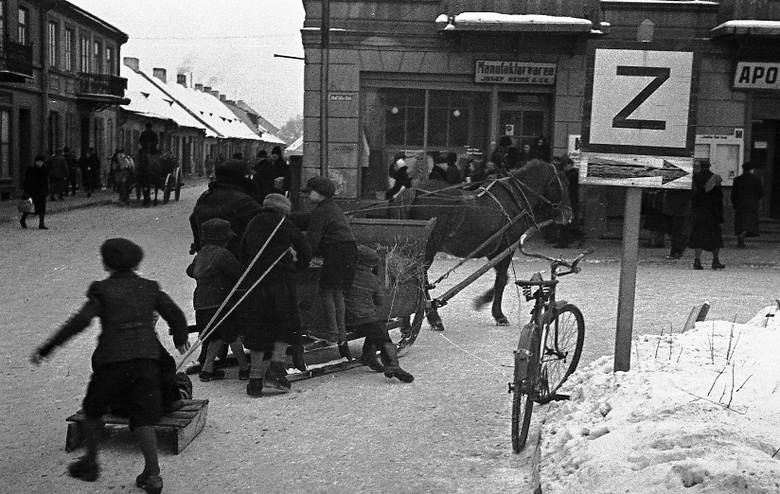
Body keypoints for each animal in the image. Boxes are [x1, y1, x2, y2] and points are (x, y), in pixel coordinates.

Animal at [374, 160, 568, 330]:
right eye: (561, 182)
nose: (568, 214)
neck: (514, 199)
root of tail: (416, 192)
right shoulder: (506, 248)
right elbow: (501, 280)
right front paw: (498, 315)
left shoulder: (494, 250)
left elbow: (502, 278)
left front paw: (483, 302)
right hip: (428, 249)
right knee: (417, 278)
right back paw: (432, 319)